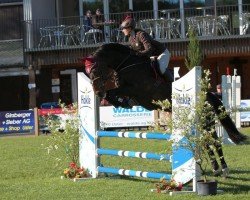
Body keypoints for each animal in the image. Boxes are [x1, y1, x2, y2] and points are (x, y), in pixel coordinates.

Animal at [81, 42, 246, 177]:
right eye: (88, 73)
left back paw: (224, 169)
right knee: (206, 142)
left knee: (214, 141)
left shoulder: (138, 90)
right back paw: (215, 168)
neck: (128, 65)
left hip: (206, 121)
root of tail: (208, 95)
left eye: (95, 70)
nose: (97, 93)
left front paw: (119, 101)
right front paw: (121, 103)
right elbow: (112, 94)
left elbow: (114, 92)